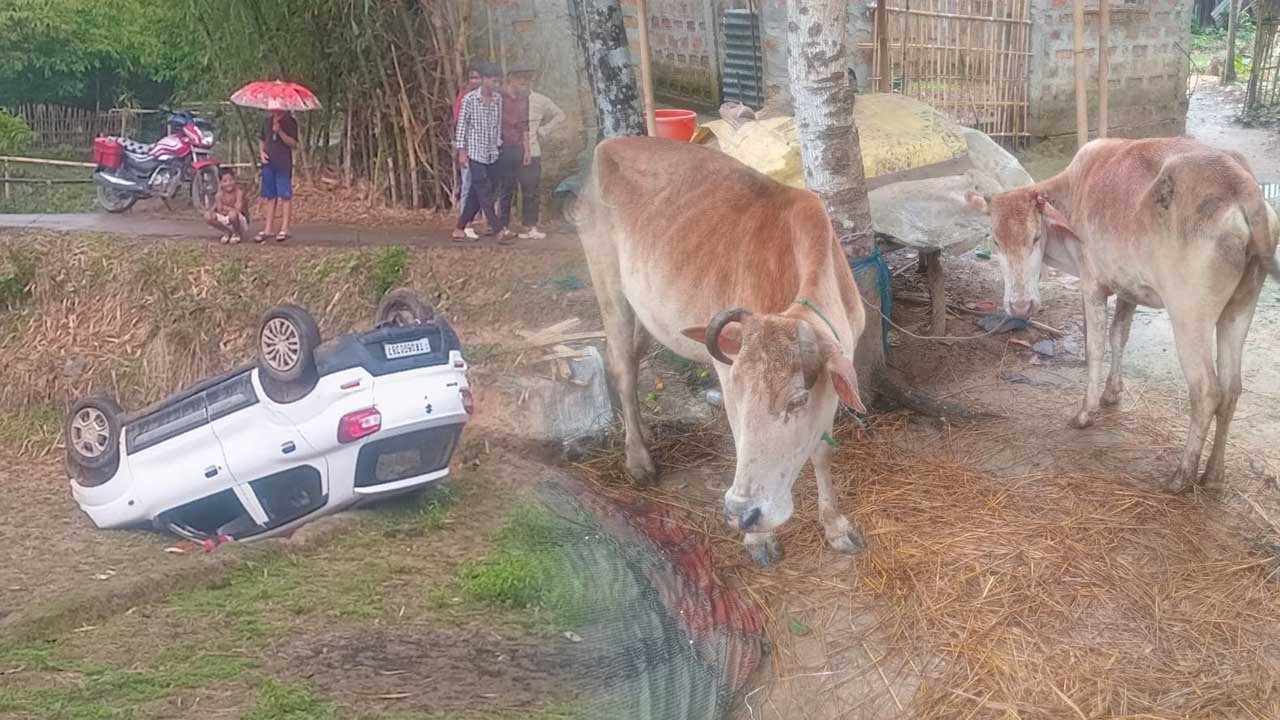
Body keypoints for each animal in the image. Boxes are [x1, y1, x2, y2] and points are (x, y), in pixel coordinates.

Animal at [575, 136, 869, 566]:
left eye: (797, 400)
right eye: (740, 396)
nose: (740, 513)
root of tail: (608, 145)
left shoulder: (831, 386)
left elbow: (821, 451)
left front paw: (835, 526)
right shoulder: (725, 373)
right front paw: (758, 539)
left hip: (648, 311)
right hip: (608, 285)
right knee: (622, 368)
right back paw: (639, 460)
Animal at [965, 137, 1280, 493]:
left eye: (1035, 237)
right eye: (995, 240)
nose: (1020, 306)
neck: (1074, 188)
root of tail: (1239, 182)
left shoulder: (1091, 283)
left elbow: (1095, 347)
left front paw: (1085, 412)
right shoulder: (1129, 287)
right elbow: (1119, 335)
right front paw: (1112, 393)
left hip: (1189, 316)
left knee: (1206, 391)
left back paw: (1181, 476)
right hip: (1239, 309)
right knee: (1231, 388)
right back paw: (1213, 476)